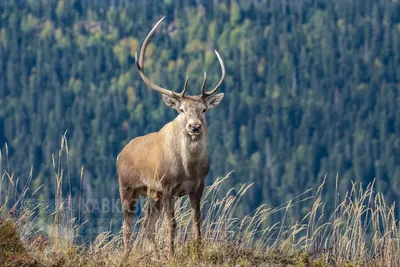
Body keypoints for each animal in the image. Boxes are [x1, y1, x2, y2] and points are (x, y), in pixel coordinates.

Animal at [116, 17, 225, 260]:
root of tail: (119, 154)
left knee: (146, 225)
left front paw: (198, 251)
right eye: (181, 109)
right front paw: (172, 254)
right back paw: (127, 255)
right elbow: (172, 224)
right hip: (127, 187)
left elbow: (197, 221)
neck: (188, 169)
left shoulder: (199, 186)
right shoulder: (166, 187)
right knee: (127, 225)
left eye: (204, 109)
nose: (194, 126)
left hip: (152, 194)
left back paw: (154, 255)